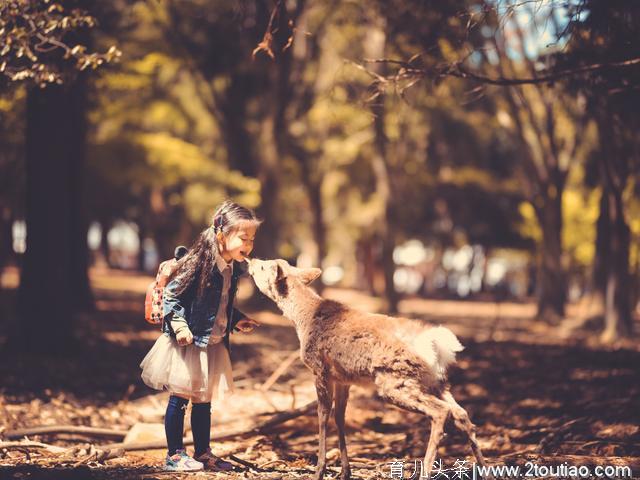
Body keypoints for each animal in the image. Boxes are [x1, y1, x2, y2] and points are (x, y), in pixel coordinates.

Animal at [248, 258, 488, 480]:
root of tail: (436, 344)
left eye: (264, 267)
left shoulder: (319, 369)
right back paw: (485, 469)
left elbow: (323, 415)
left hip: (395, 381)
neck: (302, 319)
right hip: (436, 381)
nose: (251, 260)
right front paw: (345, 472)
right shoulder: (342, 379)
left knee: (440, 412)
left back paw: (426, 472)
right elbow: (339, 416)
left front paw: (319, 470)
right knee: (461, 413)